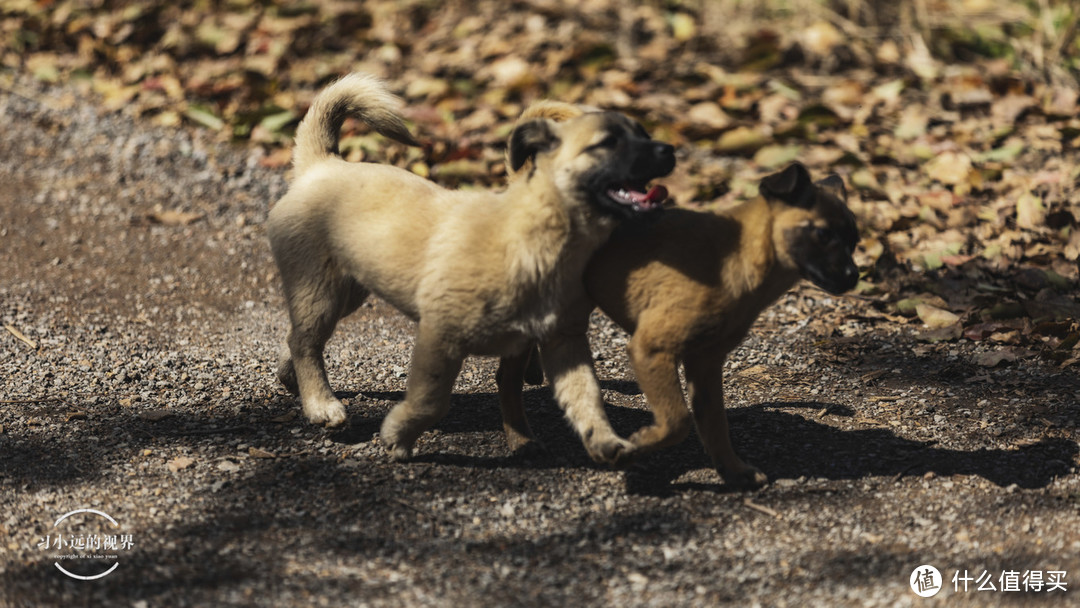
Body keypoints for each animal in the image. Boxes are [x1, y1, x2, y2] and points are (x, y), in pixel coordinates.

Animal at [267, 73, 673, 462]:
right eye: (608, 143)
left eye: (644, 134)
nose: (669, 149)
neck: (539, 239)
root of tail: (322, 163)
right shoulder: (440, 338)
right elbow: (431, 401)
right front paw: (398, 437)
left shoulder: (561, 343)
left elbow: (584, 396)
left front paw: (601, 440)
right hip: (319, 288)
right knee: (305, 341)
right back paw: (322, 405)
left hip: (349, 291)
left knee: (299, 337)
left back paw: (293, 380)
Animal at [496, 102, 859, 488]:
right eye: (823, 235)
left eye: (855, 240)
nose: (855, 276)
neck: (738, 254)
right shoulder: (652, 350)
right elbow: (678, 421)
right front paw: (636, 447)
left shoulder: (705, 363)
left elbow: (715, 427)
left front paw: (734, 472)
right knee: (507, 378)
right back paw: (521, 439)